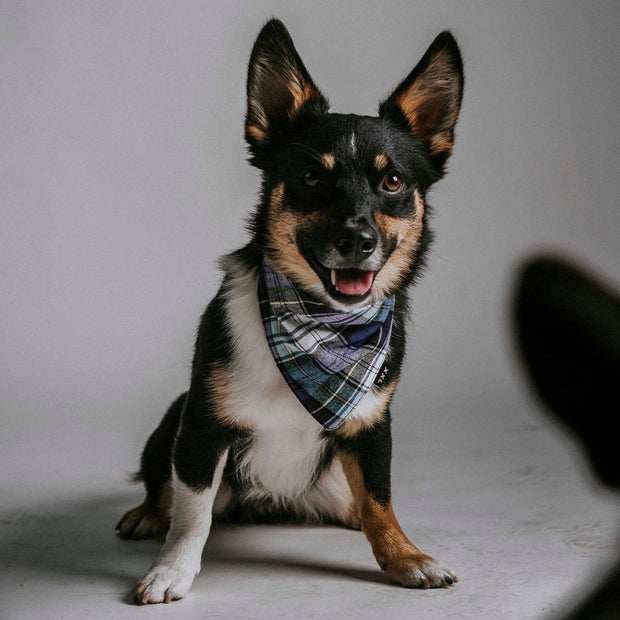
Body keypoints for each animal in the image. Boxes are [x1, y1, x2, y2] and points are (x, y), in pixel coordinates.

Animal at [117, 19, 464, 604]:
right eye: (311, 178)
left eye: (392, 181)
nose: (357, 240)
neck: (320, 323)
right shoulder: (202, 426)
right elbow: (192, 513)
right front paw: (171, 570)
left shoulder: (372, 426)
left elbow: (380, 500)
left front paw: (404, 556)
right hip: (172, 418)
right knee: (163, 488)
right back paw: (145, 514)